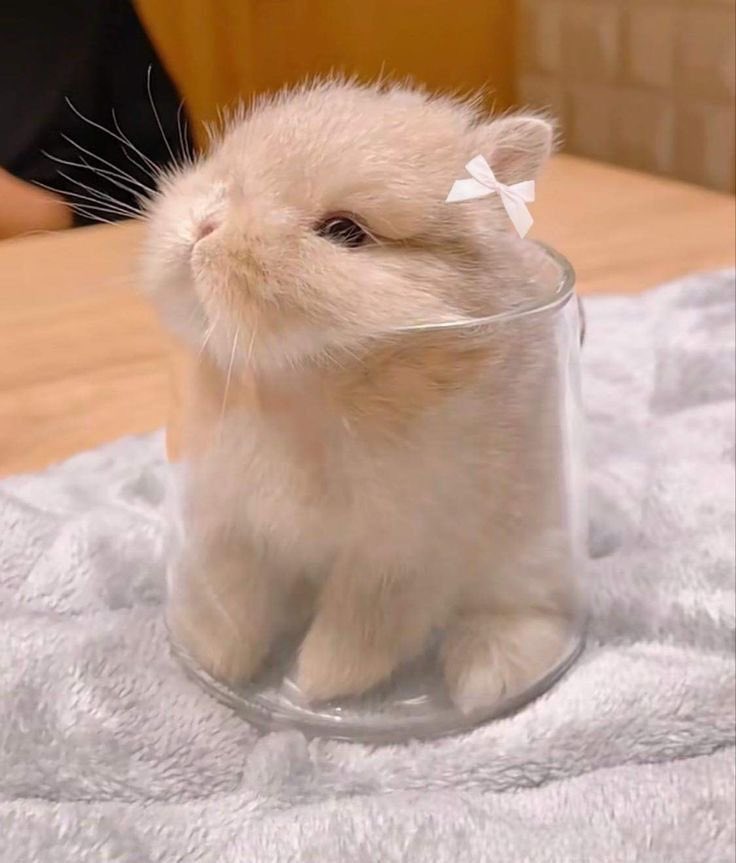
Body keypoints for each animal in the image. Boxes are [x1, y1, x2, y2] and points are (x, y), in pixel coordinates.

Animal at [142, 81, 583, 714]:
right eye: (225, 170)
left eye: (345, 232)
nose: (204, 226)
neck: (303, 390)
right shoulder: (230, 520)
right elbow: (233, 594)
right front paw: (222, 660)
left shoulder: (403, 552)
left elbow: (361, 625)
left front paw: (315, 685)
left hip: (531, 552)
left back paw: (486, 678)